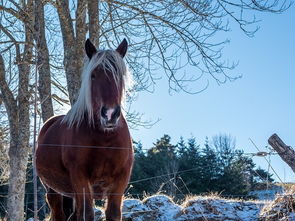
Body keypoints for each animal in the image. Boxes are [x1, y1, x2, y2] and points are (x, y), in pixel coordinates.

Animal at [35, 38, 134, 220]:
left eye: (119, 75)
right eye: (93, 75)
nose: (110, 114)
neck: (105, 139)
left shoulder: (120, 180)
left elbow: (113, 213)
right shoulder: (80, 177)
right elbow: (87, 214)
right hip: (53, 191)